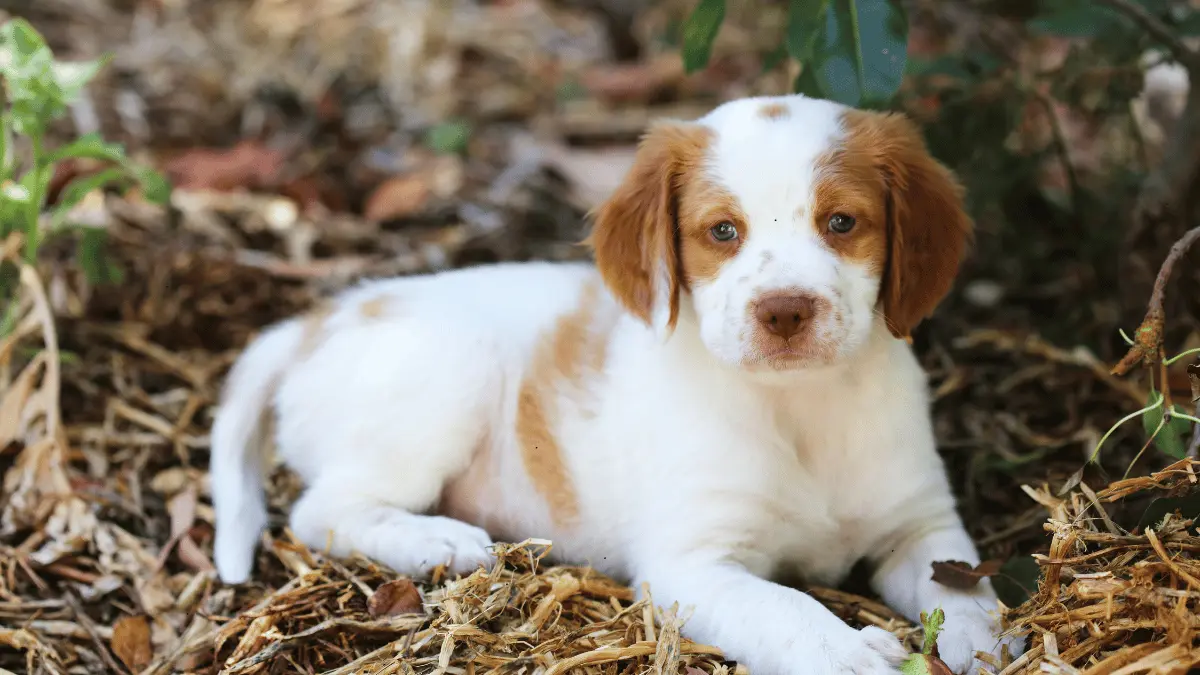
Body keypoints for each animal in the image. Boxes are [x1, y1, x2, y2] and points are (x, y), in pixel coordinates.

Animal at [211, 94, 1017, 672]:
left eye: (842, 222)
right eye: (722, 231)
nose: (784, 309)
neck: (799, 407)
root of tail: (316, 319)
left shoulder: (922, 526)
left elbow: (966, 590)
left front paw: (992, 642)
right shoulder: (691, 564)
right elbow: (787, 611)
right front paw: (852, 654)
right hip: (448, 377)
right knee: (321, 509)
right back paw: (439, 538)